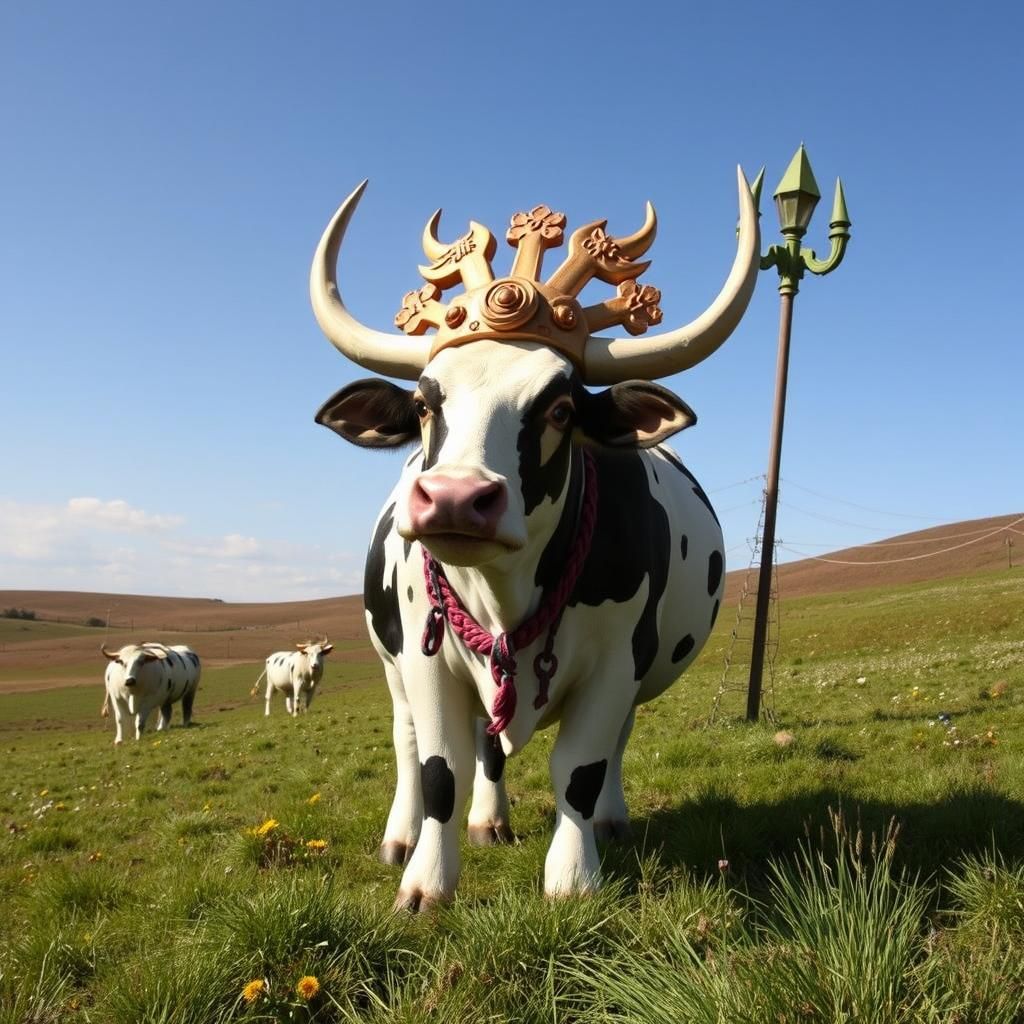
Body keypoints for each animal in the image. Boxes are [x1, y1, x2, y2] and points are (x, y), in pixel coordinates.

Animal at [308, 168, 760, 910]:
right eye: (425, 403)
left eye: (560, 408)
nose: (455, 499)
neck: (504, 593)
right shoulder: (427, 663)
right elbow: (440, 769)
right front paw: (425, 882)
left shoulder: (617, 665)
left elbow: (580, 766)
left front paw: (573, 877)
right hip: (392, 664)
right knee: (412, 744)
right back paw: (412, 834)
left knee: (597, 745)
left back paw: (594, 820)